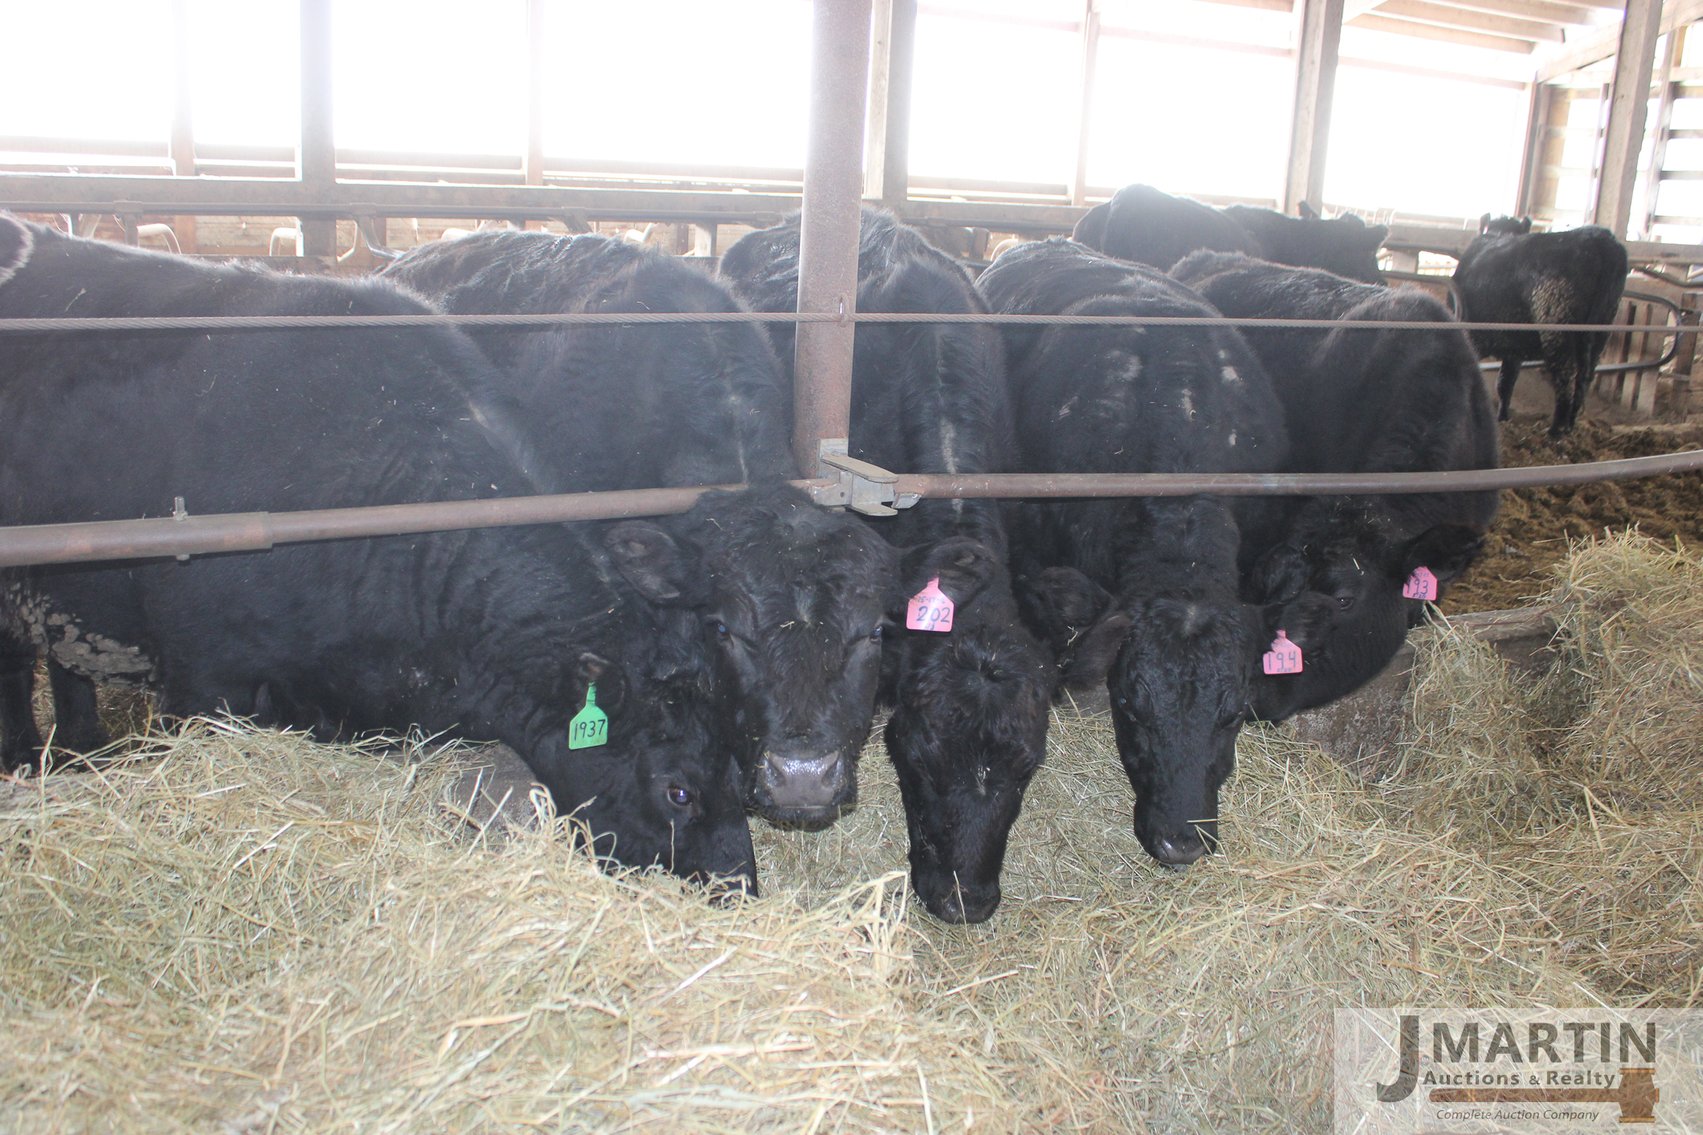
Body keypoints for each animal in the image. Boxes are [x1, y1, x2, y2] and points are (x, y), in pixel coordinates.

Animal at [1451, 214, 1628, 438]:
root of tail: (1601, 239)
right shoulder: (1513, 350)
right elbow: (1505, 382)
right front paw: (1503, 418)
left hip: (1556, 328)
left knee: (1565, 377)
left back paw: (1555, 431)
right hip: (1600, 333)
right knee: (1584, 378)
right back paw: (1570, 426)